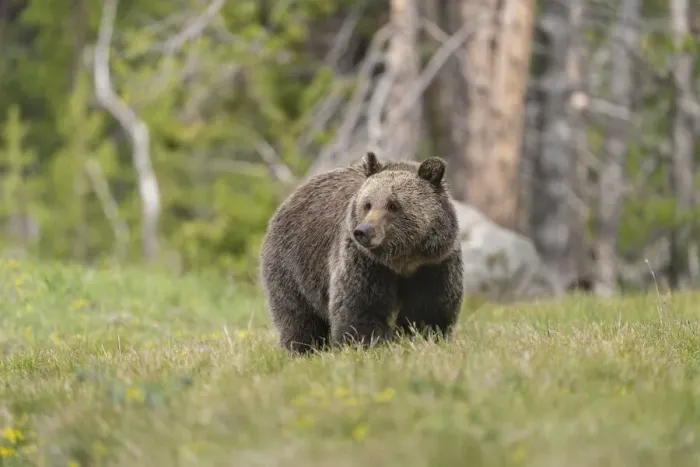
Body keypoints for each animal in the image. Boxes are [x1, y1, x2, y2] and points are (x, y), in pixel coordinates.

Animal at [259, 151, 464, 354]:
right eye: (367, 204)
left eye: (393, 205)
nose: (364, 231)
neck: (402, 261)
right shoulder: (365, 263)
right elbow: (359, 308)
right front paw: (368, 345)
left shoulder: (433, 265)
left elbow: (428, 310)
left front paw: (421, 338)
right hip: (294, 264)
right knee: (297, 315)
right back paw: (302, 349)